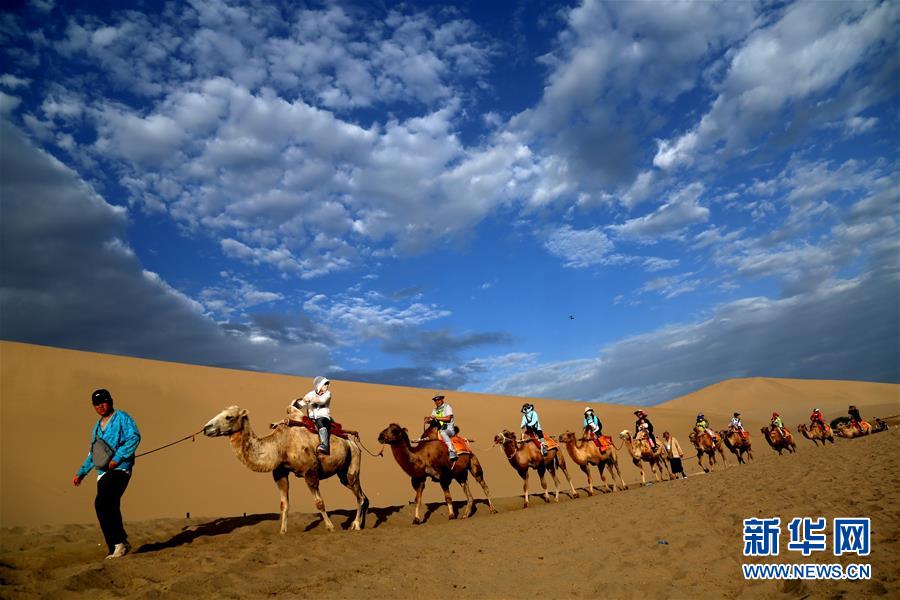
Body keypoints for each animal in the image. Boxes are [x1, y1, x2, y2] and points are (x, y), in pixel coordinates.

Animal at [205, 406, 370, 536]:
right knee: (362, 495)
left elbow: (319, 503)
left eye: (229, 417)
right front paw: (282, 531)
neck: (279, 445)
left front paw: (330, 527)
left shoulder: (310, 471)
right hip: (343, 473)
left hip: (353, 463)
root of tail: (352, 442)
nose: (207, 428)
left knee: (359, 496)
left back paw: (355, 525)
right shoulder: (280, 473)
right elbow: (284, 504)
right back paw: (361, 524)